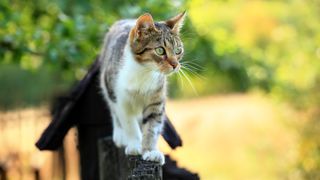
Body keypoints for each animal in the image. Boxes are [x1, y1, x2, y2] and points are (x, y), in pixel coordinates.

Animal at [99, 11, 185, 165]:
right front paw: (134, 145)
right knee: (114, 111)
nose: (175, 65)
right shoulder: (121, 98)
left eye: (178, 50)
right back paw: (120, 135)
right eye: (160, 50)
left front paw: (150, 151)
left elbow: (152, 126)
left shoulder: (156, 100)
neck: (144, 72)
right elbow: (128, 122)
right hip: (107, 83)